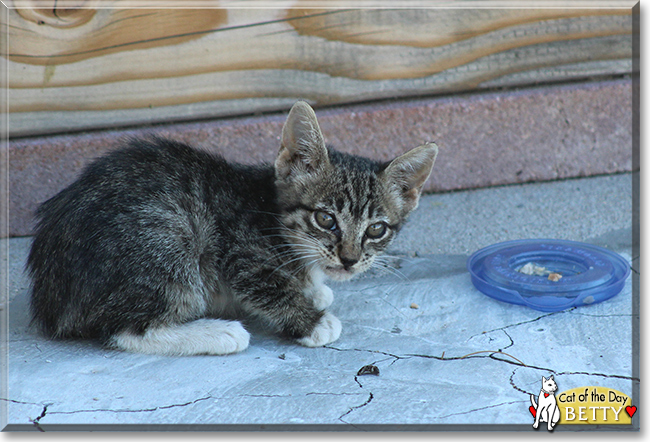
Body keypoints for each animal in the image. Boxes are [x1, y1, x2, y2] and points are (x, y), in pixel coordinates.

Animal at [27, 102, 438, 356]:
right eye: (325, 219)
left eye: (377, 229)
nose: (350, 260)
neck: (275, 219)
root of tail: (51, 294)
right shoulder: (240, 253)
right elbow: (269, 287)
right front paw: (311, 320)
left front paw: (315, 288)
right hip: (169, 233)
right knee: (125, 329)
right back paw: (220, 332)